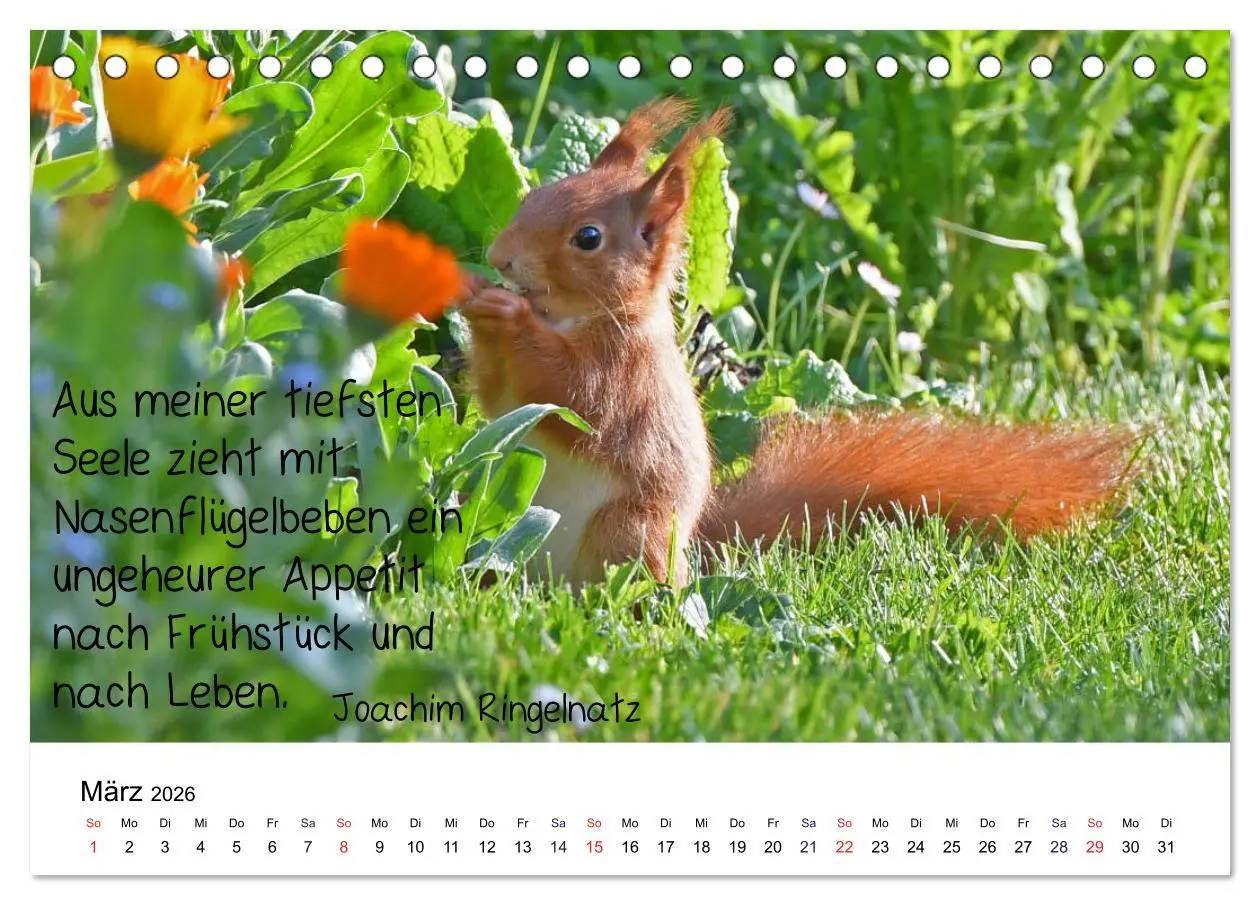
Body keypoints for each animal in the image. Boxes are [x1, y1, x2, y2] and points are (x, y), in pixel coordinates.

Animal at [460, 98, 1135, 587]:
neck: (580, 322)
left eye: (588, 238)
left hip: (627, 530)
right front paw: (476, 304)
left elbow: (578, 402)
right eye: (534, 194)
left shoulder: (627, 380)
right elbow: (502, 402)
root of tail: (690, 555)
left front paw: (507, 316)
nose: (500, 257)